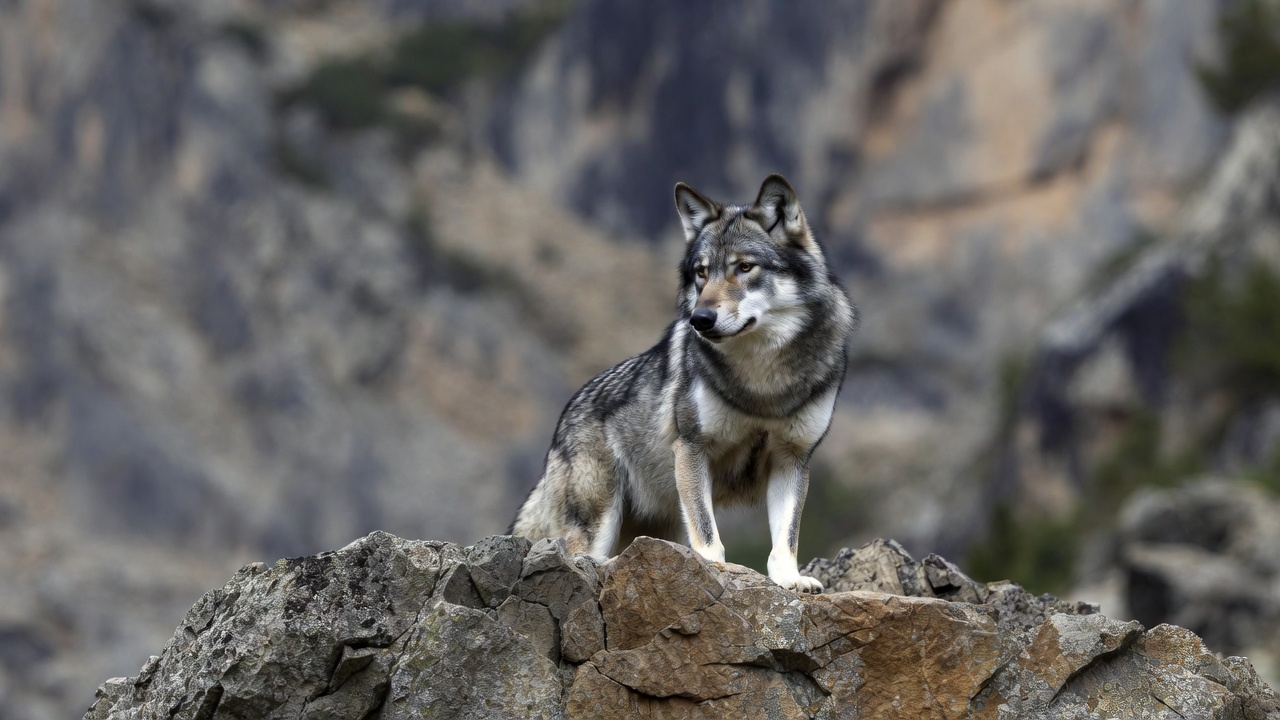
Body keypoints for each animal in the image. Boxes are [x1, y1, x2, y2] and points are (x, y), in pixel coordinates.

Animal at [511, 174, 856, 592]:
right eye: (702, 273)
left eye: (745, 267)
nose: (700, 319)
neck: (763, 381)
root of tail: (565, 418)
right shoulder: (692, 447)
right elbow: (706, 530)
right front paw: (712, 568)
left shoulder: (792, 458)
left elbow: (785, 536)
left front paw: (791, 579)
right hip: (602, 520)